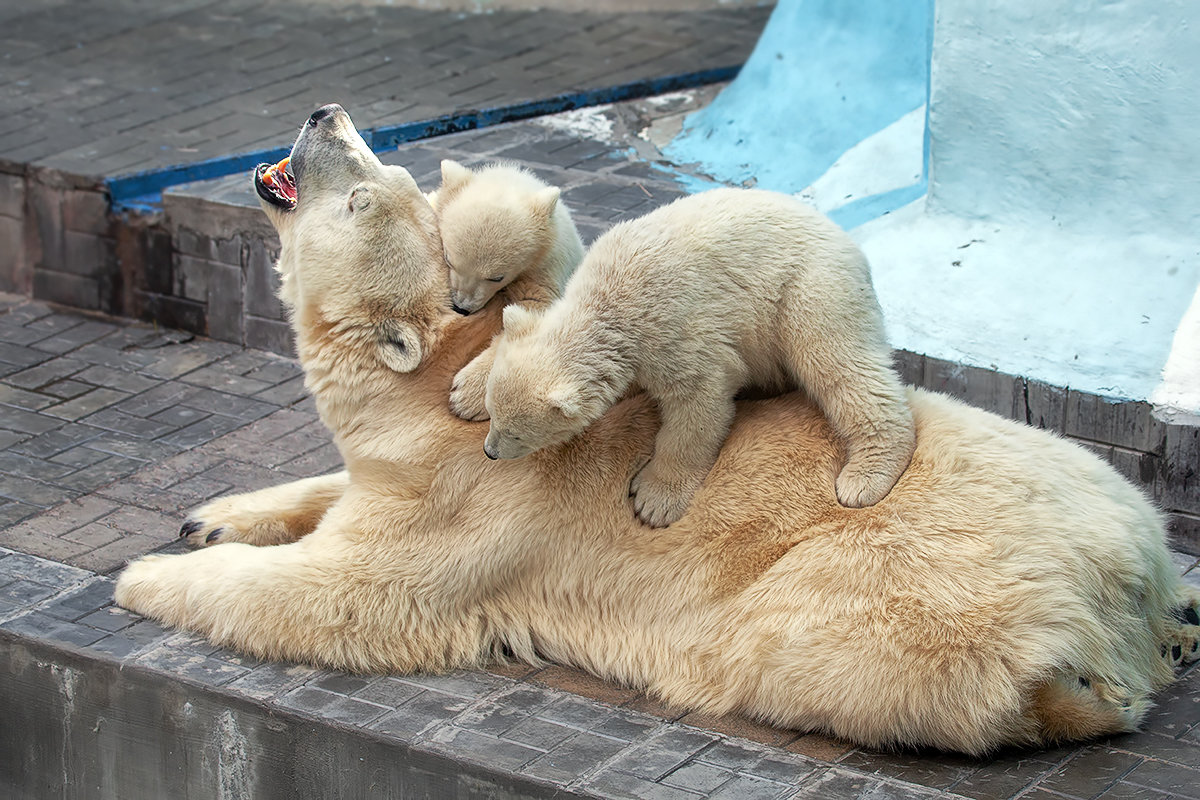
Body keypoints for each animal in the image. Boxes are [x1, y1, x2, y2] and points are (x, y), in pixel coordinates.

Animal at [432, 161, 585, 422]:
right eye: (448, 259)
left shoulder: (545, 266)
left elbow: (531, 312)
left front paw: (465, 396)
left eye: (496, 277)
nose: (462, 307)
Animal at [482, 187, 912, 525]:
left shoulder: (672, 327)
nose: (490, 451)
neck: (608, 301)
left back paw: (866, 475)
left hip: (810, 288)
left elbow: (698, 403)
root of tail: (850, 243)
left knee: (837, 362)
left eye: (517, 432)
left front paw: (653, 500)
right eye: (492, 414)